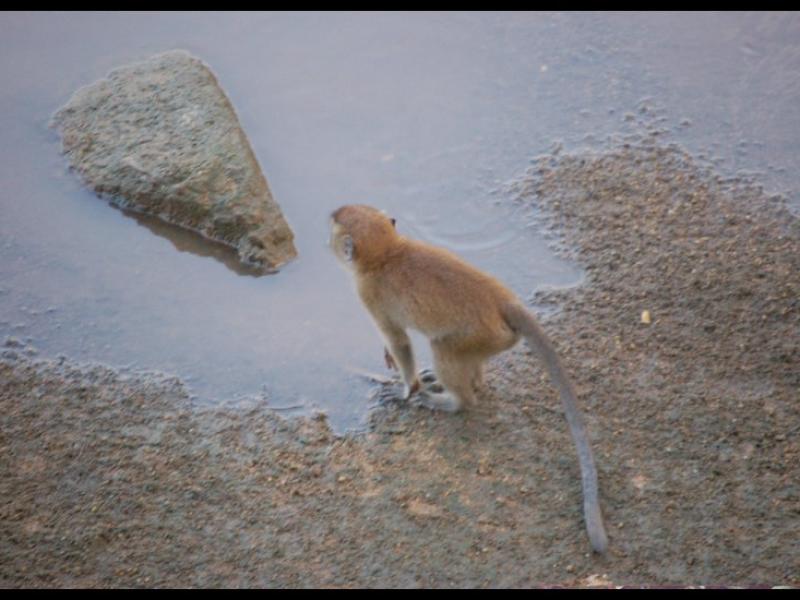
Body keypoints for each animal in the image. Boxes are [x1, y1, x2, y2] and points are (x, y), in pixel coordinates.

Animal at [329, 204, 608, 554]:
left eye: (334, 227)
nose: (328, 240)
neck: (389, 252)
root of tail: (502, 300)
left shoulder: (370, 294)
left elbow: (399, 341)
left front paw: (407, 389)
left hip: (478, 335)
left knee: (443, 348)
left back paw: (455, 401)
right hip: (492, 340)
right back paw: (466, 384)